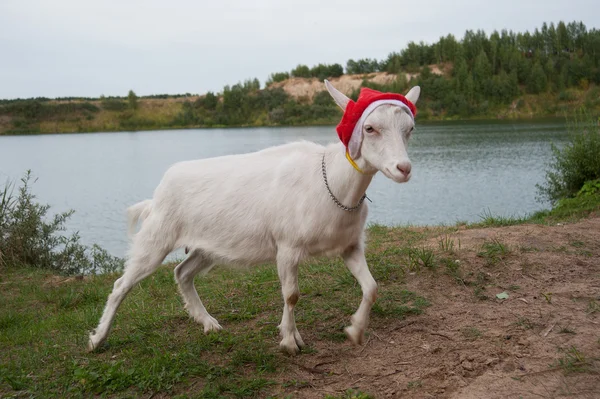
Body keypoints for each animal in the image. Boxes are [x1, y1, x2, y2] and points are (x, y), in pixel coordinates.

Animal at [89, 82, 420, 356]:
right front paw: (290, 341)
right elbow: (291, 295)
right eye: (370, 128)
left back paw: (208, 322)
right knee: (121, 284)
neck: (333, 184)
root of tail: (157, 194)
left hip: (207, 246)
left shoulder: (350, 245)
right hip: (157, 237)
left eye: (410, 129)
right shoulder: (287, 247)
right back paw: (97, 339)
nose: (403, 169)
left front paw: (355, 331)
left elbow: (371, 287)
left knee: (182, 273)